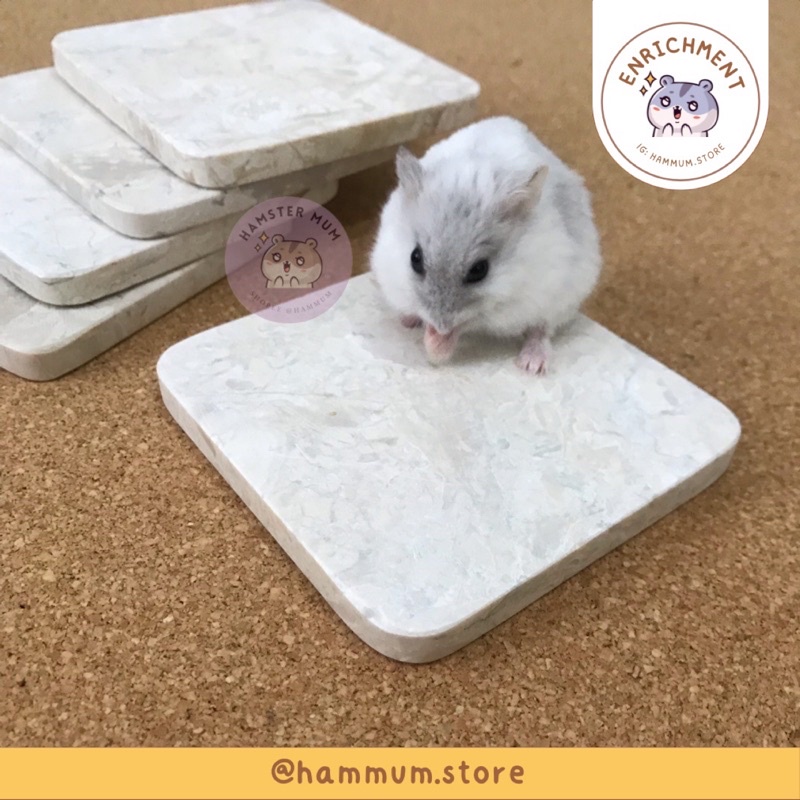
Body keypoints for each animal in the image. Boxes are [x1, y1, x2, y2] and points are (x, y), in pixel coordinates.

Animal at [370, 116, 602, 374]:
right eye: (415, 258)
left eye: (480, 270)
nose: (441, 324)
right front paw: (431, 340)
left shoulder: (512, 304)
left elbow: (469, 322)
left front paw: (438, 350)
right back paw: (408, 320)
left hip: (565, 296)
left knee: (541, 328)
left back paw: (532, 365)